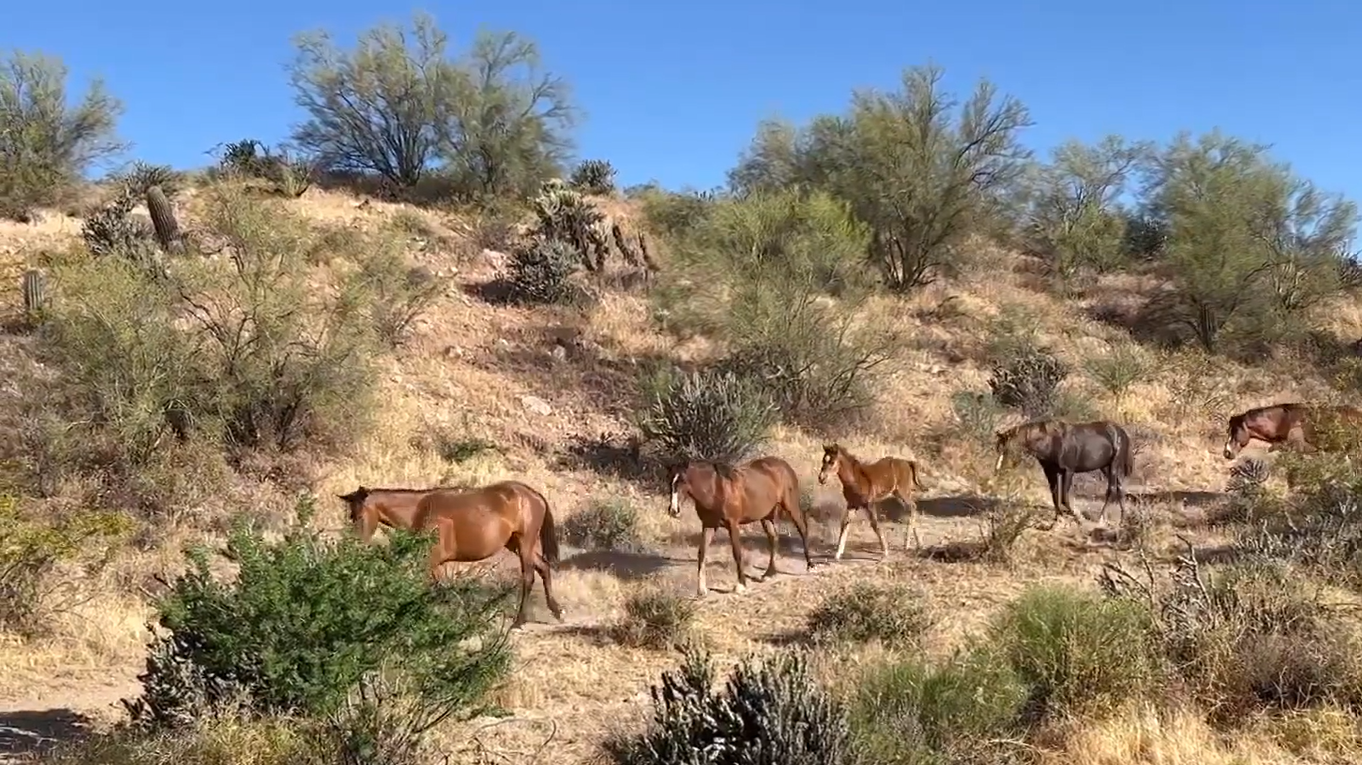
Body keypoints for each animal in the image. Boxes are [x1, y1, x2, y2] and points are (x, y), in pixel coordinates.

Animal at [412, 480, 564, 629]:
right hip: (515, 544)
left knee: (529, 577)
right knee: (543, 567)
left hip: (525, 543)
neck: (420, 510)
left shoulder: (431, 560)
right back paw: (556, 611)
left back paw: (519, 621)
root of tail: (536, 495)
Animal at [668, 457, 815, 598]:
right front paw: (701, 590)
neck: (716, 490)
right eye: (671, 482)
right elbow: (702, 553)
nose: (673, 510)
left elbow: (737, 553)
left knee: (802, 529)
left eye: (683, 481)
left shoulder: (733, 525)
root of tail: (784, 465)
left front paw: (741, 585)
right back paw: (769, 573)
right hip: (766, 515)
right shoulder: (708, 525)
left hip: (790, 506)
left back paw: (810, 565)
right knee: (773, 538)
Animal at [994, 419, 1134, 530]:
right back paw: (1122, 521)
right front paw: (1057, 520)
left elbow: (1064, 498)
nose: (999, 471)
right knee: (1120, 489)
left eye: (1008, 450)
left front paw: (1077, 519)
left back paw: (1100, 519)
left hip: (1114, 464)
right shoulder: (1051, 471)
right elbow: (1055, 496)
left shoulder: (1068, 471)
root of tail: (1122, 432)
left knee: (1111, 489)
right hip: (1105, 467)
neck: (1051, 441)